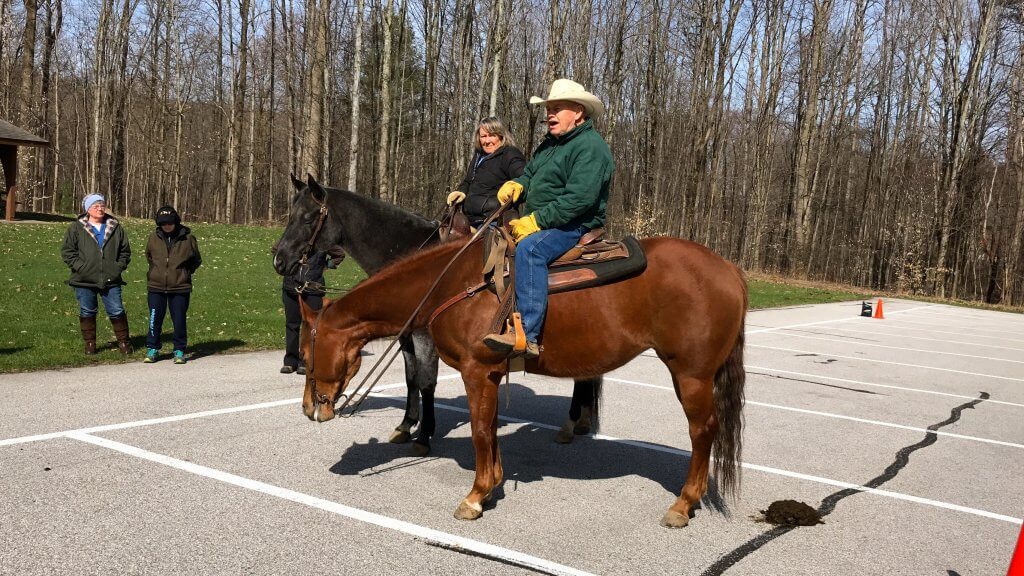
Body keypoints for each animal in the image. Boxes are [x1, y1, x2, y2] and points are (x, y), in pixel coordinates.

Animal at [273, 176, 601, 455]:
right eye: (290, 216)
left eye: (308, 218)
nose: (279, 260)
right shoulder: (406, 335)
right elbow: (411, 379)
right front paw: (407, 425)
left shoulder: (424, 337)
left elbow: (427, 380)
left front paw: (424, 435)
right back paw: (582, 421)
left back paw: (571, 424)